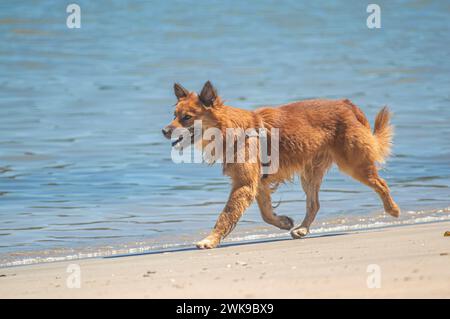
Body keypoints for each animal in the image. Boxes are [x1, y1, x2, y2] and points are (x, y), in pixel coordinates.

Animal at [163, 80, 400, 250]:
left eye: (186, 118)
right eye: (174, 115)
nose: (164, 131)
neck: (229, 129)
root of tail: (346, 104)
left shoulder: (244, 185)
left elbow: (226, 214)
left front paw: (210, 240)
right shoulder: (258, 184)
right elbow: (266, 213)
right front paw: (284, 222)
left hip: (354, 164)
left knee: (381, 184)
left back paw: (393, 209)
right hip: (310, 173)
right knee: (314, 204)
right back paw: (302, 229)